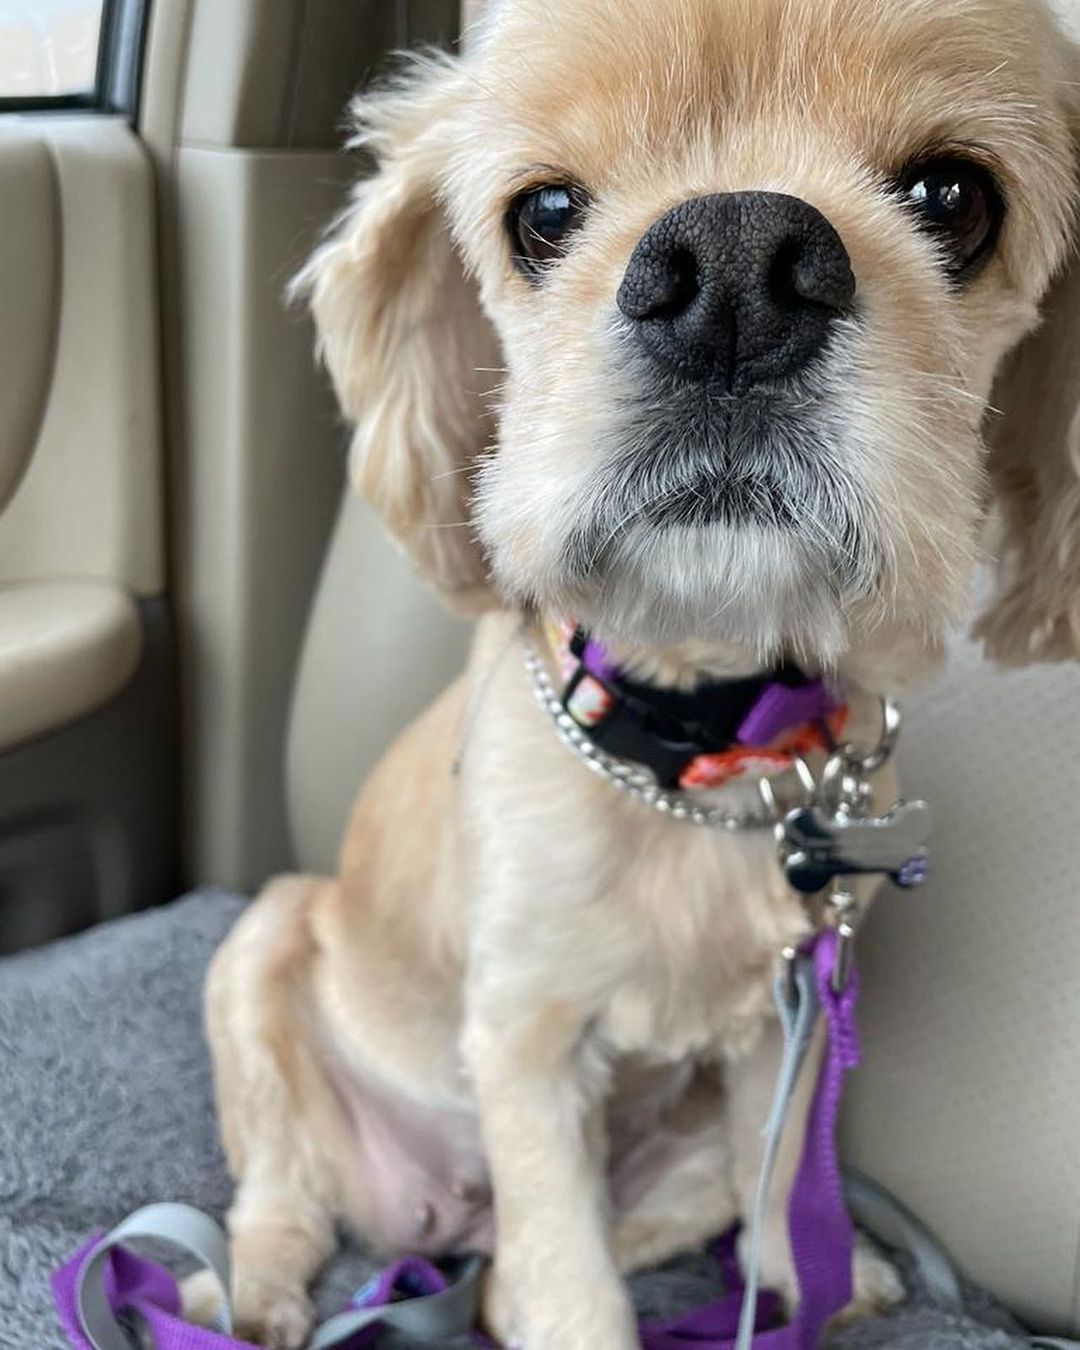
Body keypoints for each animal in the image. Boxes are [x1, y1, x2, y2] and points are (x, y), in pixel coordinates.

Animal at [198, 2, 1080, 1350]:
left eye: (954, 197)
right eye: (544, 213)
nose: (736, 267)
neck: (704, 742)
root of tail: (442, 1218)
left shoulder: (789, 1014)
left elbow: (782, 1169)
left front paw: (814, 1278)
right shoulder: (525, 1033)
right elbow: (568, 1277)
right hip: (262, 947)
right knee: (288, 1202)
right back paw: (251, 1296)